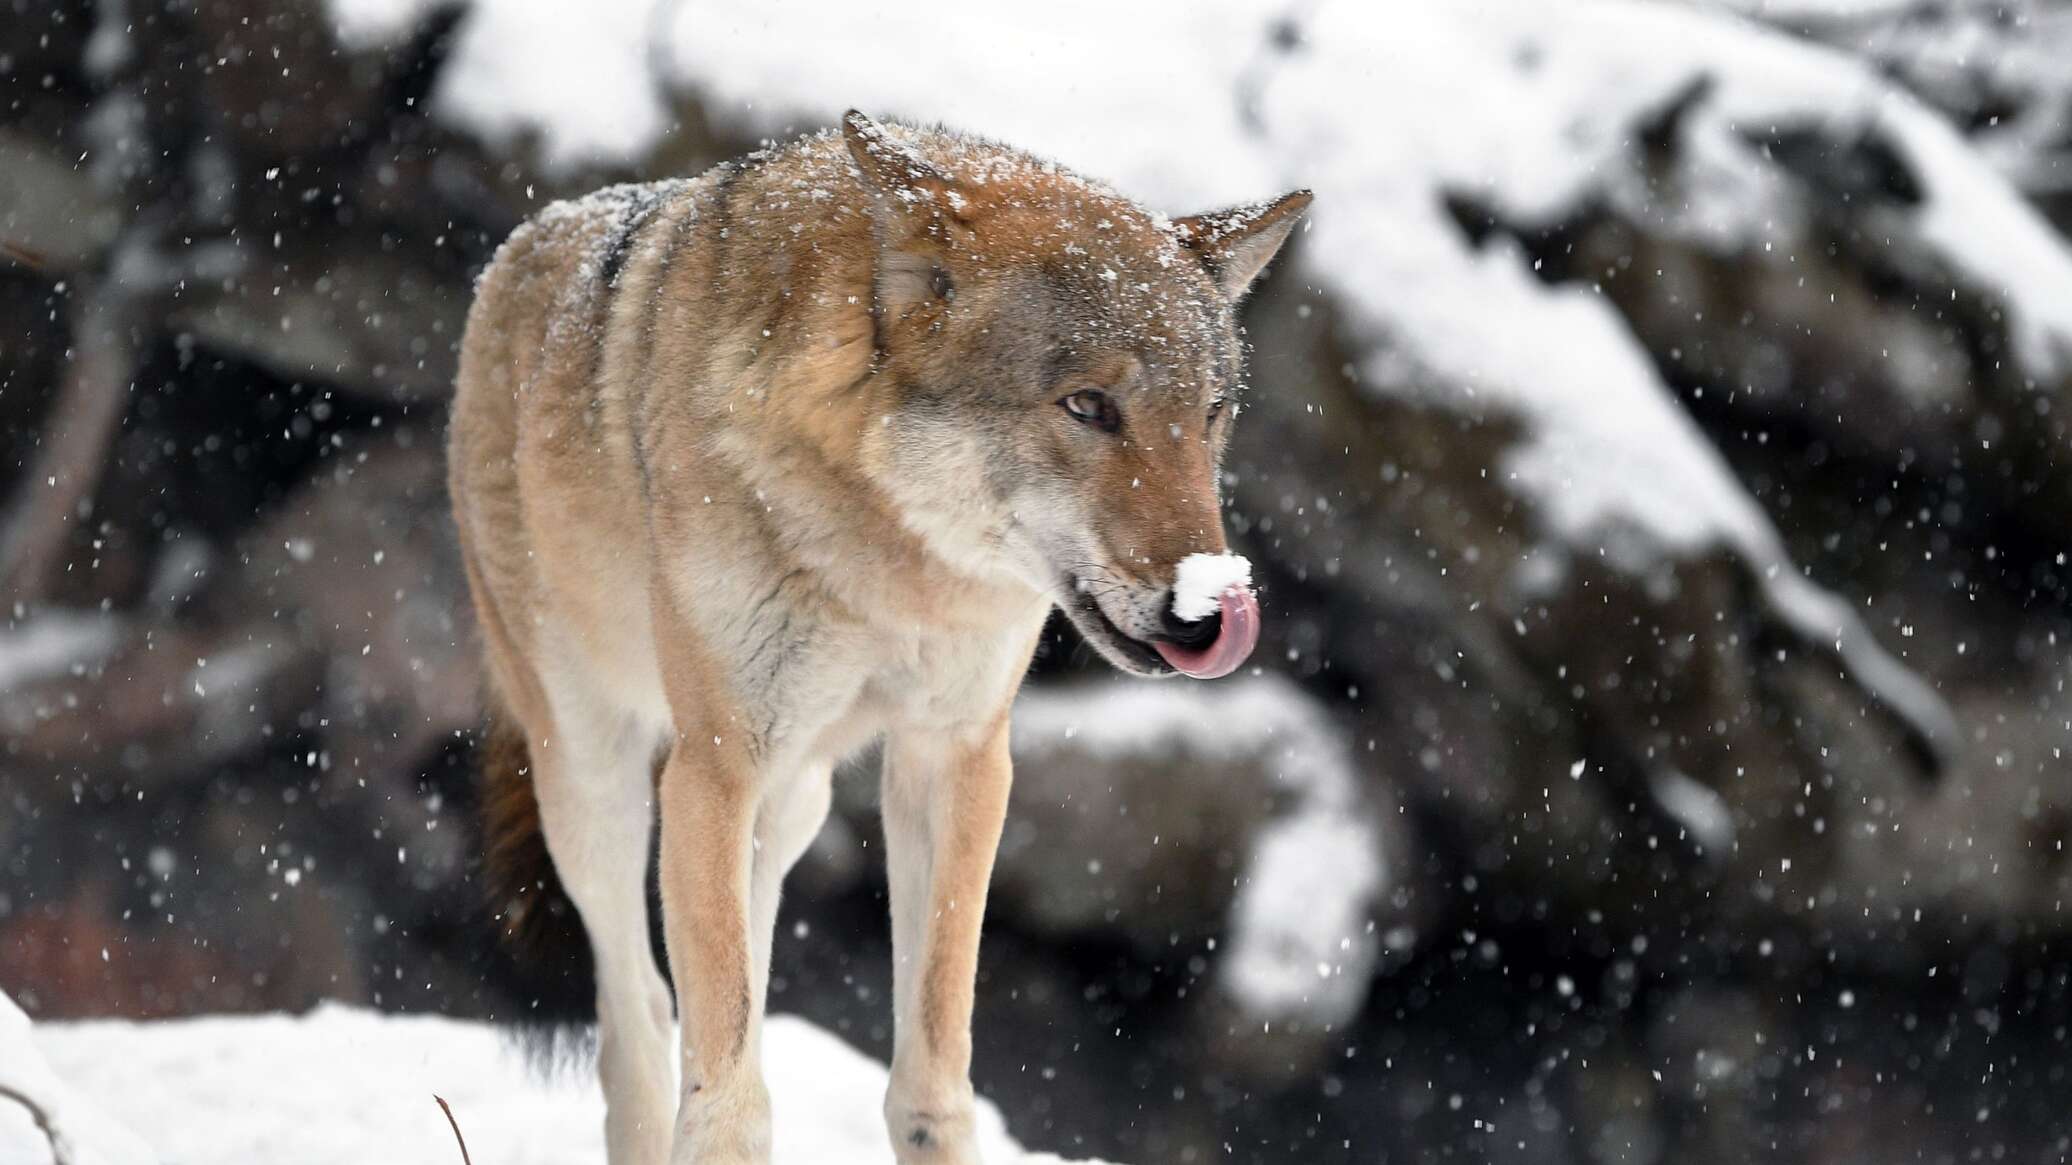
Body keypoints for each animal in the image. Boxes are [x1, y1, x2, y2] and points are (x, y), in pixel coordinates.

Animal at [453, 110, 1309, 1160]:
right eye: (1088, 406)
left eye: (1210, 415)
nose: (1209, 609)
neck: (894, 567)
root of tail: (523, 245)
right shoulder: (713, 762)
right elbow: (727, 1096)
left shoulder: (959, 757)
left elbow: (930, 1080)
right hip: (595, 778)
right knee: (640, 1020)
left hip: (793, 802)